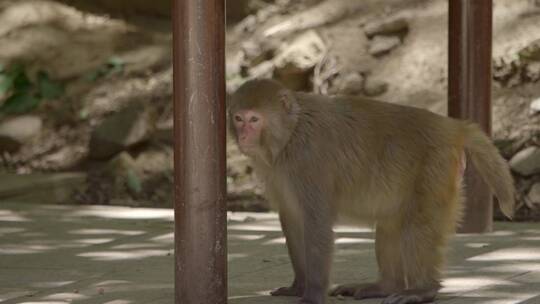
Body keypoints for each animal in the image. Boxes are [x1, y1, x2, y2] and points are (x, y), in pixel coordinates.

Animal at [228, 79, 516, 304]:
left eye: (254, 120)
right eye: (238, 119)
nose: (243, 137)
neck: (291, 134)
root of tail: (452, 127)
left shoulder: (308, 162)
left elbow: (316, 223)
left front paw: (313, 294)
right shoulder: (278, 172)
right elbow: (292, 220)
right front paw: (298, 286)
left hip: (435, 169)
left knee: (418, 227)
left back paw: (422, 290)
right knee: (391, 224)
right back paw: (385, 287)